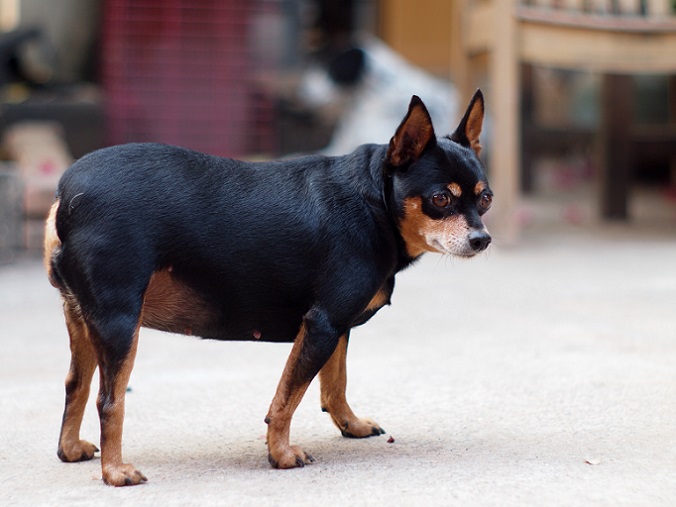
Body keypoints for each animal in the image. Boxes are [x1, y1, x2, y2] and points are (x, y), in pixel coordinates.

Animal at [45, 89, 494, 486]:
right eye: (440, 199)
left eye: (485, 199)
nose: (482, 239)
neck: (376, 204)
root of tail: (66, 194)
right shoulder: (323, 325)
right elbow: (287, 398)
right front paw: (281, 454)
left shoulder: (335, 326)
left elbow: (334, 384)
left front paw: (350, 425)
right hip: (120, 323)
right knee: (109, 401)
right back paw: (115, 473)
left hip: (82, 318)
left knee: (75, 385)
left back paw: (70, 449)